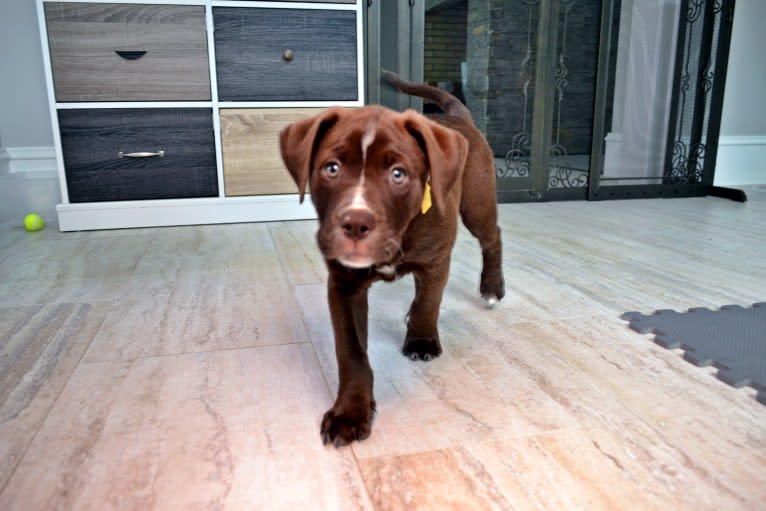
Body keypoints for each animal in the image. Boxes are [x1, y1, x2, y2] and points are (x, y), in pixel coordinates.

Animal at [280, 72, 508, 448]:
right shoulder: (344, 285)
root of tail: (459, 118)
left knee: (493, 238)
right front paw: (350, 412)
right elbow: (352, 352)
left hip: (478, 204)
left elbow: (430, 302)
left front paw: (421, 340)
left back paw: (492, 286)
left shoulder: (436, 260)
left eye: (398, 174)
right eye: (331, 168)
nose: (355, 223)